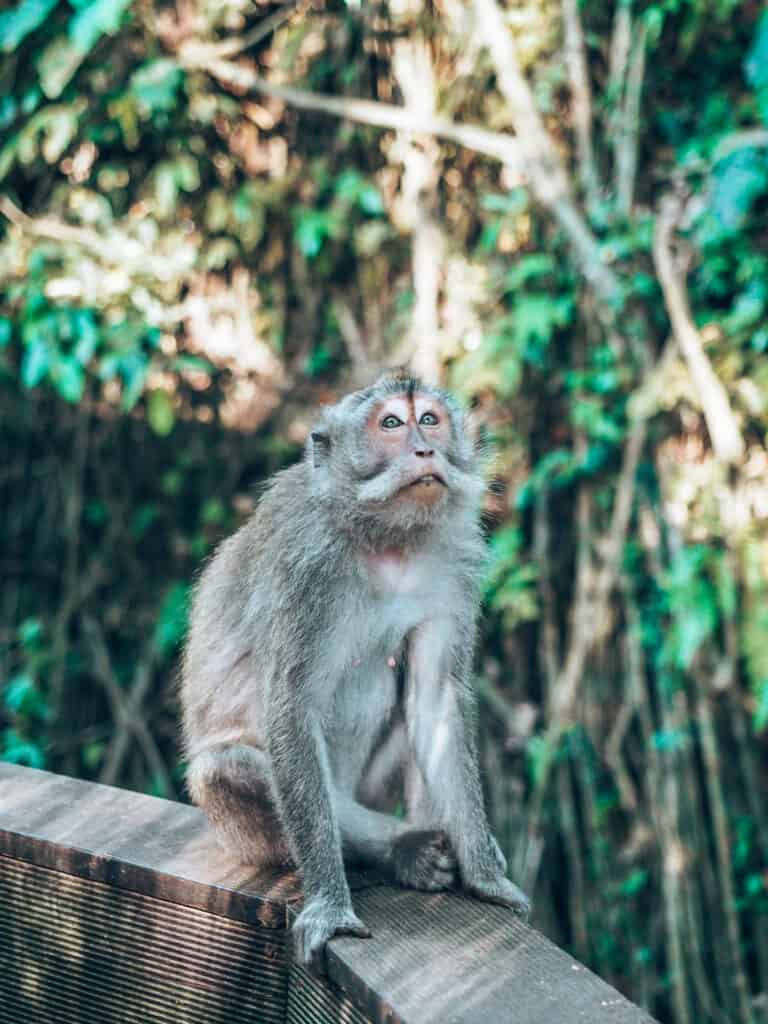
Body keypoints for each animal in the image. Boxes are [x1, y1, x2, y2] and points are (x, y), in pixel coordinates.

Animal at [182, 372, 528, 962]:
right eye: (390, 423)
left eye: (429, 419)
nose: (424, 449)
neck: (387, 537)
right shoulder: (303, 567)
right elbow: (290, 708)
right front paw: (330, 906)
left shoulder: (453, 563)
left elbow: (435, 700)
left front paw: (485, 875)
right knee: (233, 767)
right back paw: (401, 850)